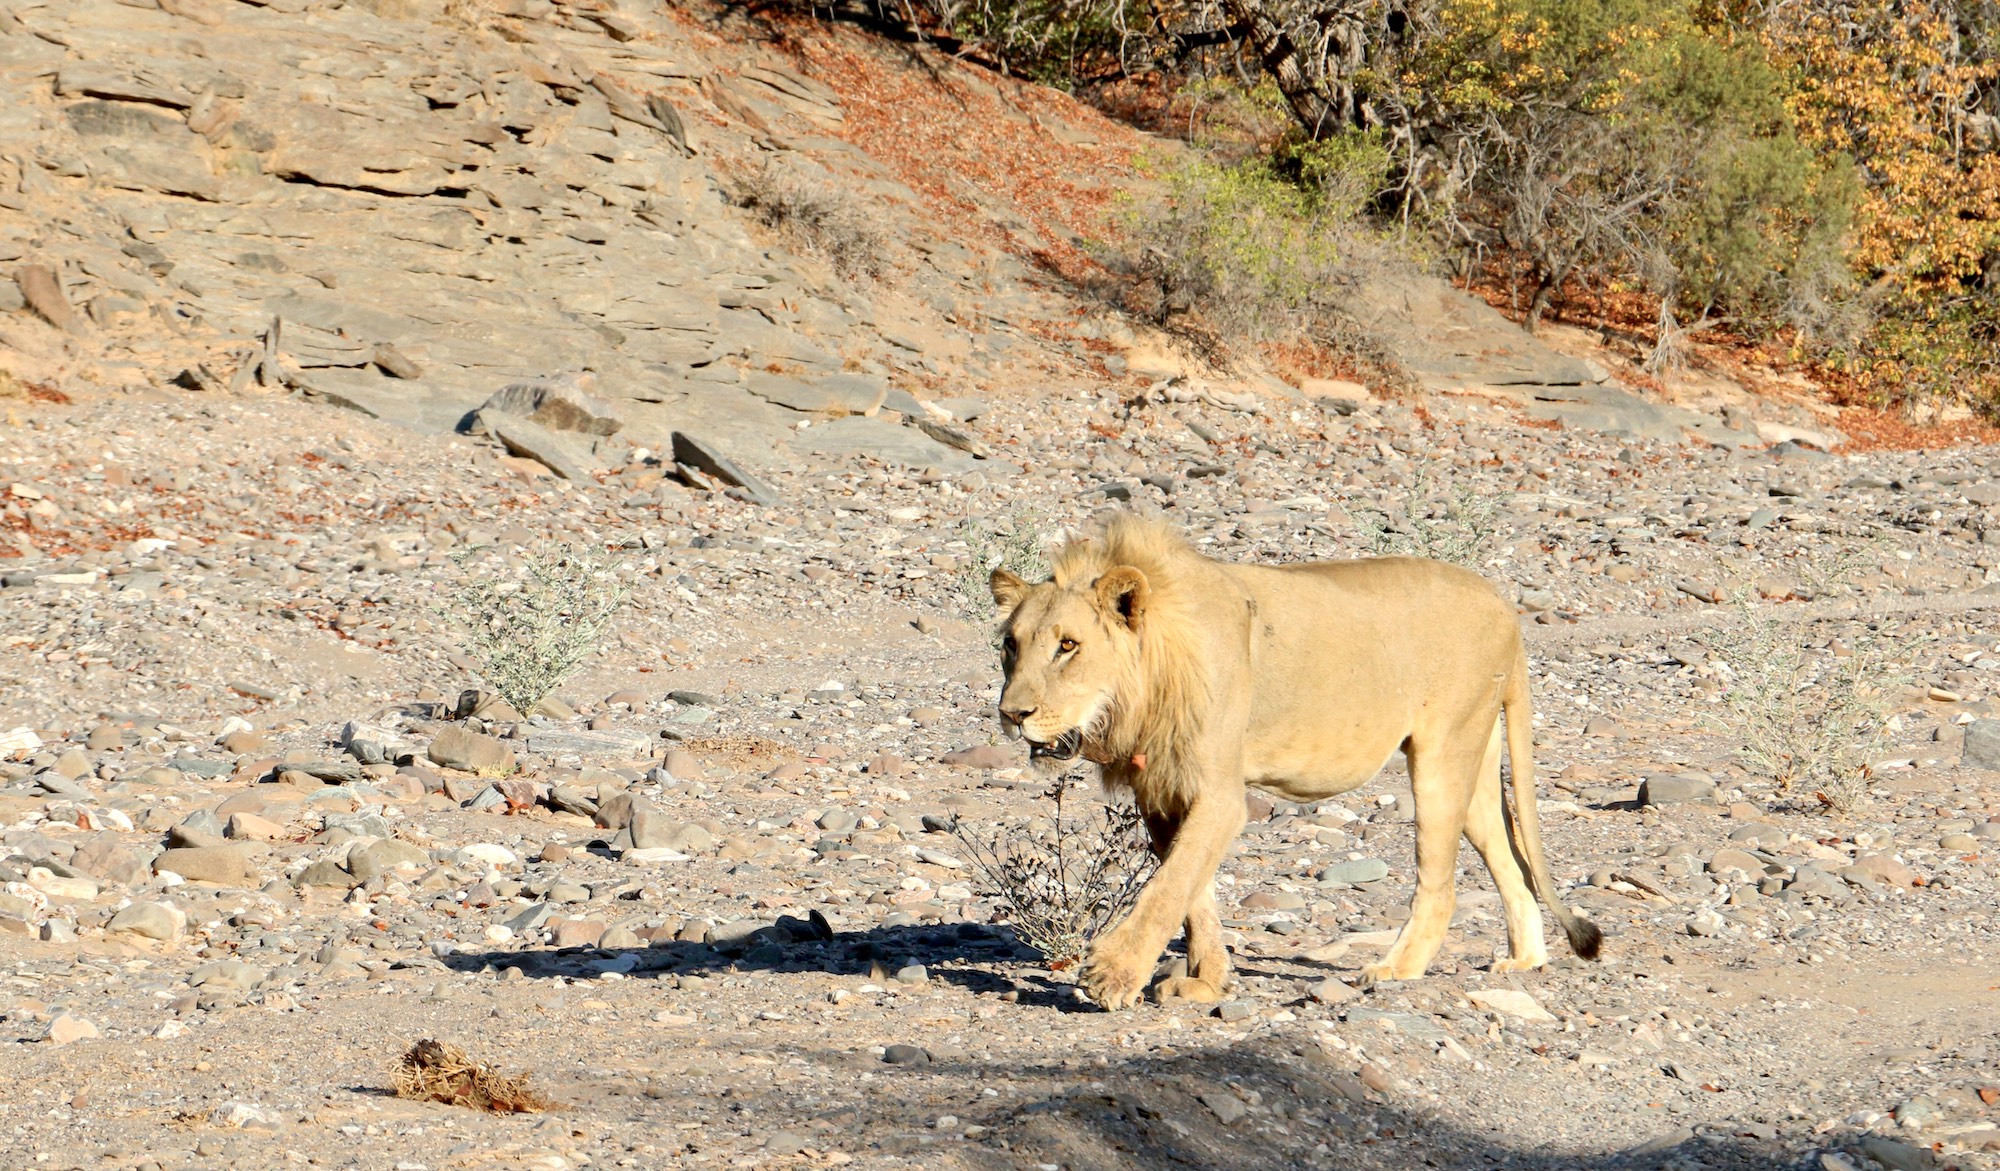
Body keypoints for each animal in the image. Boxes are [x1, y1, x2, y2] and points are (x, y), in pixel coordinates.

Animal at [989, 512, 1600, 1010]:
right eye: (1011, 645)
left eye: (1068, 646)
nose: (1012, 713)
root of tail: (1504, 606)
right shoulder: (1161, 792)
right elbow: (1191, 890)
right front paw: (1207, 981)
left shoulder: (1219, 793)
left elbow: (1168, 889)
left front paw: (1113, 975)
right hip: (1474, 756)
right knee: (1510, 858)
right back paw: (1523, 961)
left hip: (1441, 754)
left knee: (1440, 885)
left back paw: (1394, 969)